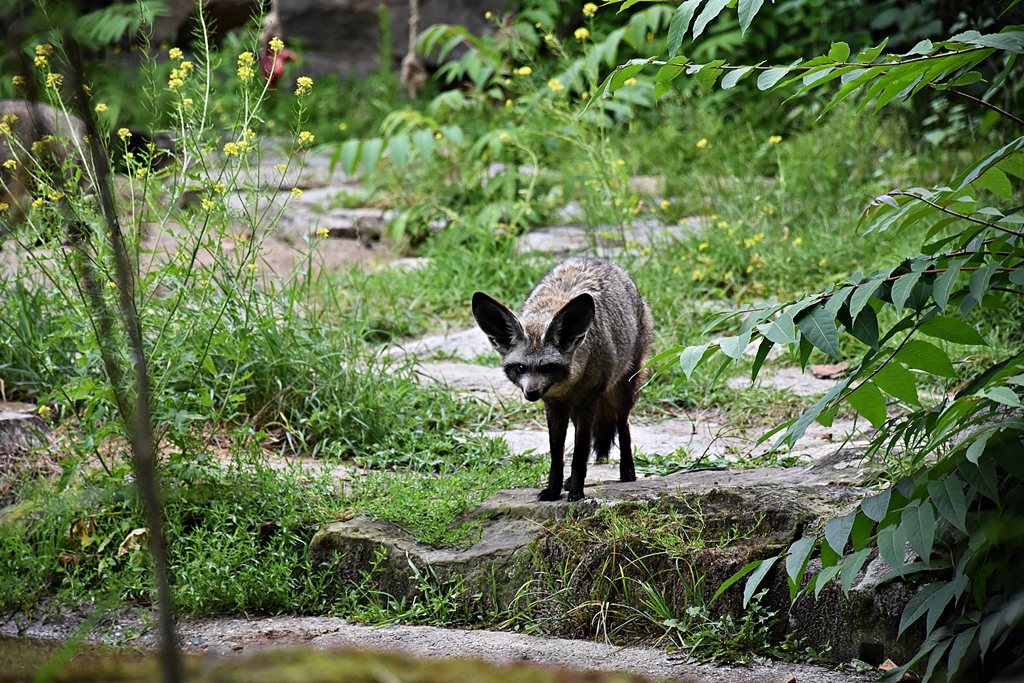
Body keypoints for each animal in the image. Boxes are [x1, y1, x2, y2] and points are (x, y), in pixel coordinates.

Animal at [472, 257, 653, 502]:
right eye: (521, 368)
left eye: (548, 368)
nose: (531, 393)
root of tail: (594, 258)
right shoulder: (555, 407)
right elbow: (557, 456)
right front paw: (553, 490)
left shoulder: (587, 403)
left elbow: (579, 456)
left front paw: (577, 491)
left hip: (621, 393)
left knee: (623, 427)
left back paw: (627, 471)